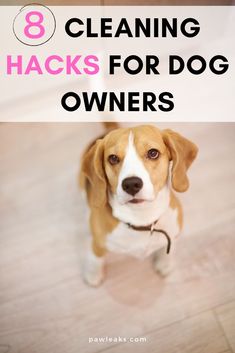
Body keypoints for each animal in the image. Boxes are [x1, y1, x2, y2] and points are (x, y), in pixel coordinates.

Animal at [79, 124, 198, 286]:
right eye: (113, 158)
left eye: (153, 153)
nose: (131, 184)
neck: (141, 218)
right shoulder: (98, 243)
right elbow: (95, 258)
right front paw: (93, 274)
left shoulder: (173, 233)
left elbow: (168, 250)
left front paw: (165, 263)